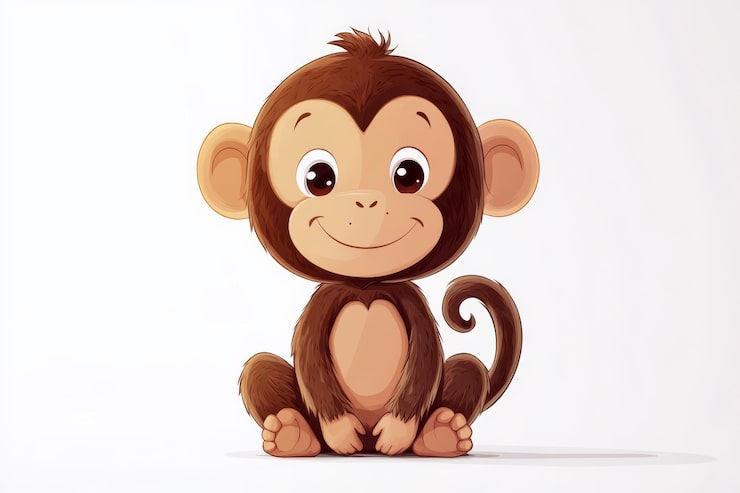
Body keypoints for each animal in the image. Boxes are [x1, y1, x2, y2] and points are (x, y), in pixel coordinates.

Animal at [197, 29, 539, 457]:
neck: (367, 287)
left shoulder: (412, 304)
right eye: (317, 176)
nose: (366, 201)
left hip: (456, 380)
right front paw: (338, 431)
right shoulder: (323, 304)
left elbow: (425, 366)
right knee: (260, 369)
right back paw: (291, 432)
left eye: (409, 174)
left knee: (468, 368)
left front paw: (399, 432)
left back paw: (442, 432)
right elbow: (310, 365)